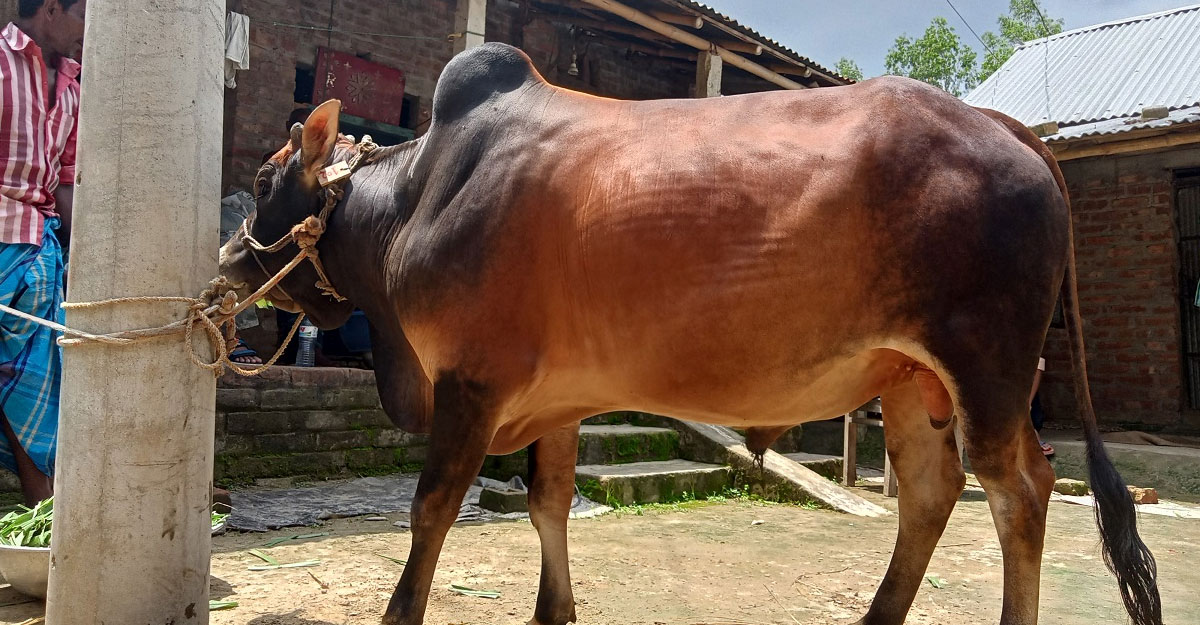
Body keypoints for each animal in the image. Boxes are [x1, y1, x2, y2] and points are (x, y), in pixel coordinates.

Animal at [219, 43, 1161, 625]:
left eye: (265, 180)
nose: (227, 261)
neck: (419, 195)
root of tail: (1005, 126)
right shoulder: (557, 397)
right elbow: (548, 502)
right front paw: (553, 609)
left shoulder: (471, 383)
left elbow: (431, 508)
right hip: (908, 379)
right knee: (932, 493)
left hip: (987, 372)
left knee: (1019, 495)